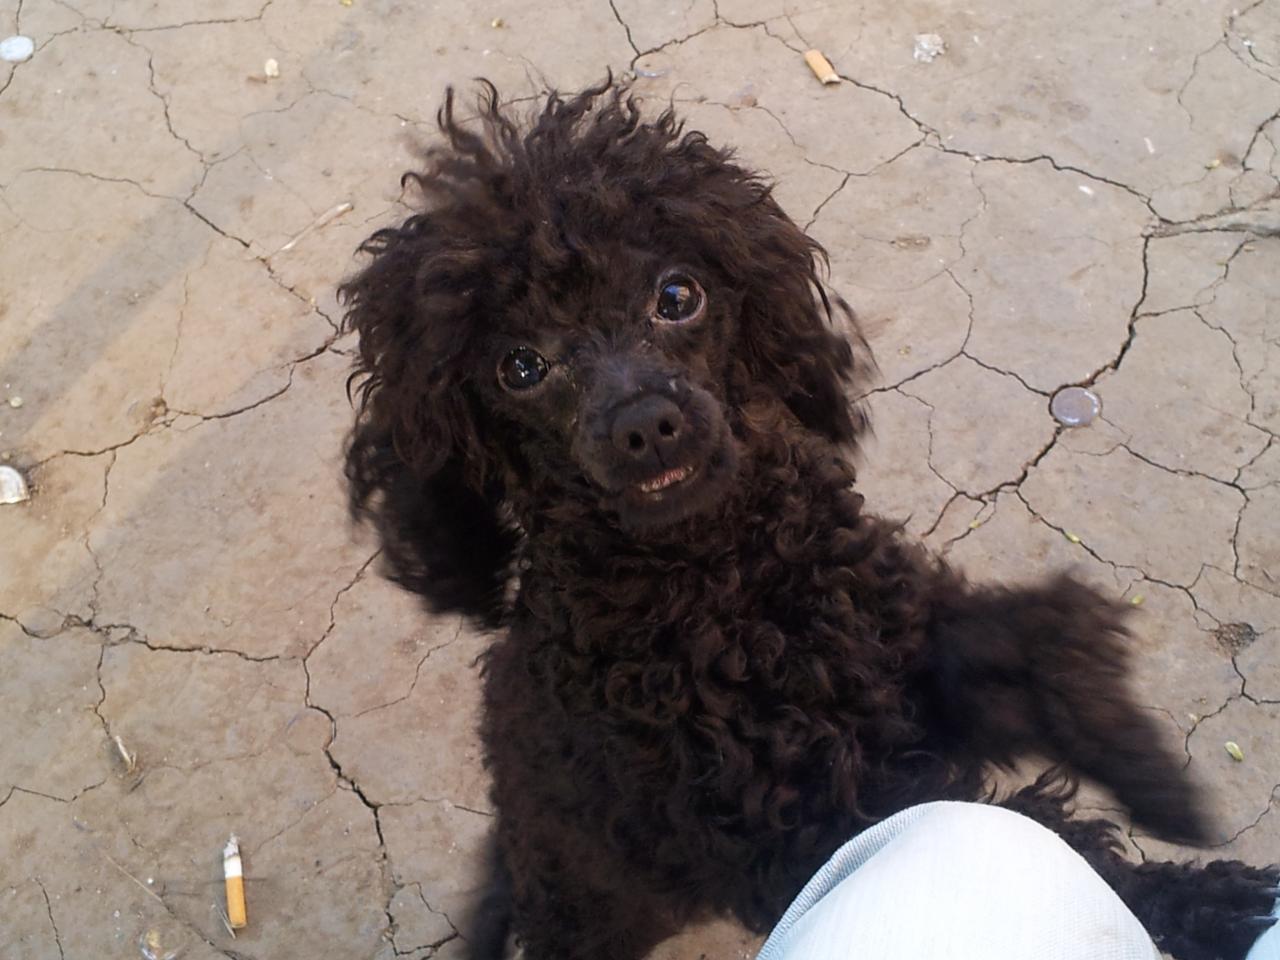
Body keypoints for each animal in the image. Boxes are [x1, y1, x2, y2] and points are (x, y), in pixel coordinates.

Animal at [339, 80, 1278, 960]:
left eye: (676, 294)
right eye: (520, 368)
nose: (645, 423)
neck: (727, 583)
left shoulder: (899, 661)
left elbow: (1022, 644)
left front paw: (1140, 764)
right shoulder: (799, 836)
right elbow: (1053, 840)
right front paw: (1209, 899)